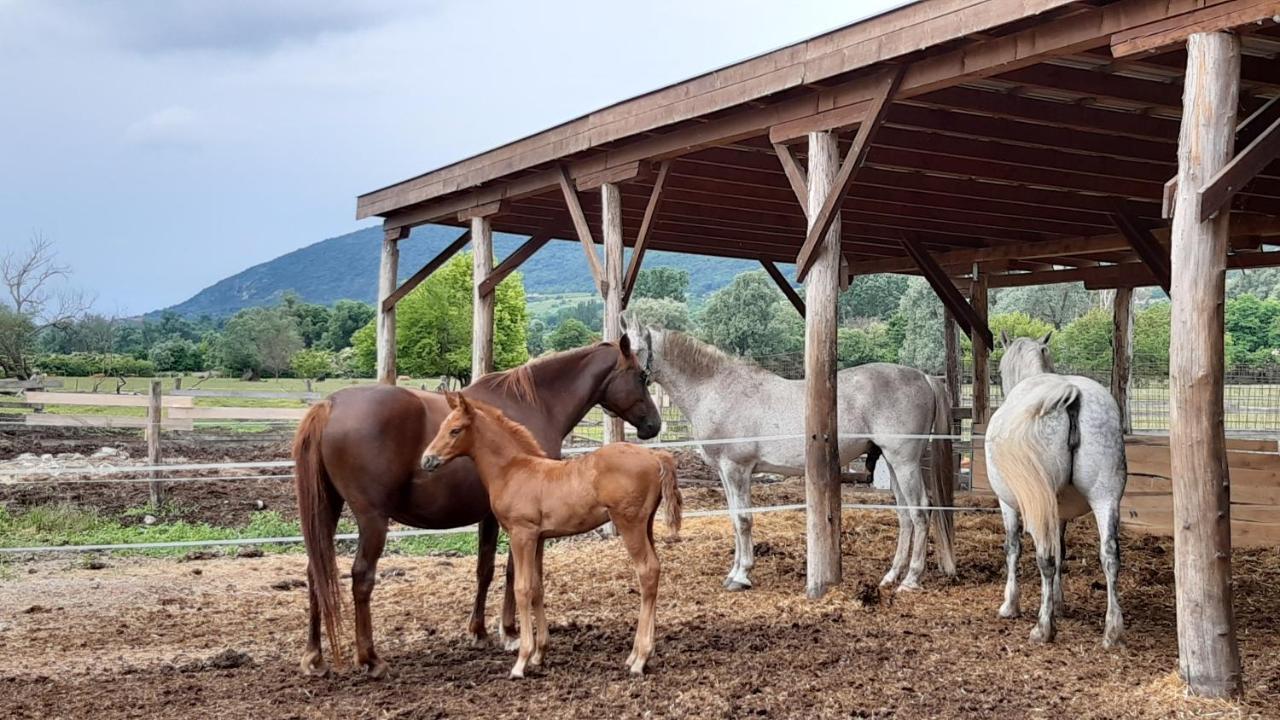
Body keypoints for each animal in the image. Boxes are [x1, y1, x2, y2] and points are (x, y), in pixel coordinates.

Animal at [419, 392, 680, 676]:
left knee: (647, 571)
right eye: (442, 426)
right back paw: (637, 655)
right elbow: (537, 587)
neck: (513, 470)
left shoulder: (522, 534)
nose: (427, 460)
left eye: (455, 430)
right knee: (655, 569)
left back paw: (640, 658)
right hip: (646, 524)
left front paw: (521, 661)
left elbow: (522, 588)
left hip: (629, 523)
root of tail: (655, 457)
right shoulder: (540, 538)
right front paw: (539, 654)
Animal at [624, 316, 957, 591]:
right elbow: (734, 519)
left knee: (920, 510)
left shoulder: (736, 469)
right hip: (892, 461)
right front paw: (733, 573)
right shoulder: (724, 472)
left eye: (632, 349)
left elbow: (743, 519)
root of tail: (925, 378)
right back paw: (891, 577)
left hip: (905, 462)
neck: (719, 390)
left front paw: (742, 576)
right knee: (905, 516)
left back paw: (911, 580)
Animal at [983, 330, 1126, 645]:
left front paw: (1010, 604)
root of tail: (1071, 393)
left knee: (1044, 557)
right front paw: (1059, 602)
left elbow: (1014, 547)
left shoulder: (1009, 504)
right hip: (1106, 496)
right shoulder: (1059, 511)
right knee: (1110, 554)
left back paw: (1043, 627)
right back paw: (1112, 629)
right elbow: (1062, 549)